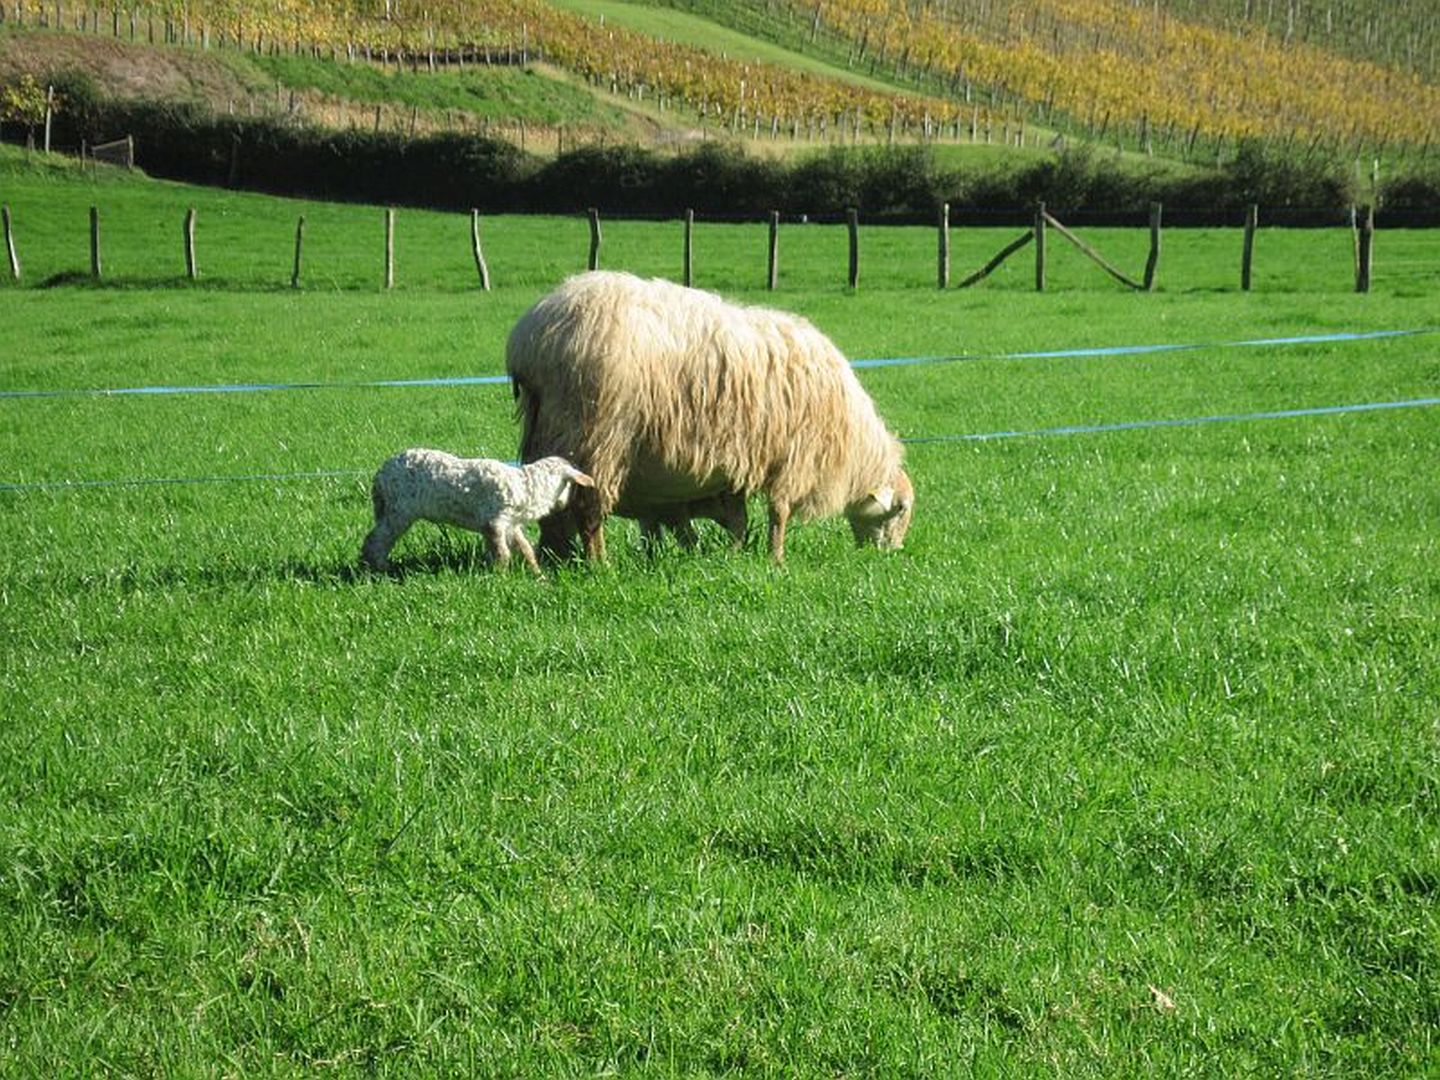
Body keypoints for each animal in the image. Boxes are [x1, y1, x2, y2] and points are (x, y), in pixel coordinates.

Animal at [360, 450, 594, 574]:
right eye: (571, 486)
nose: (563, 505)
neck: (527, 488)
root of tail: (379, 476)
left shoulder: (510, 523)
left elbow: (525, 548)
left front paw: (537, 574)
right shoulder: (494, 520)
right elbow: (502, 552)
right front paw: (501, 576)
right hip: (398, 509)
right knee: (376, 539)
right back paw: (377, 568)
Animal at [506, 271, 913, 564]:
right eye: (901, 508)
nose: (891, 555)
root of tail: (530, 337)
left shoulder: (737, 465)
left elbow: (737, 518)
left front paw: (734, 555)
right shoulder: (794, 459)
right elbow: (778, 514)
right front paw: (776, 560)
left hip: (547, 428)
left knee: (553, 506)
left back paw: (555, 559)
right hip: (595, 434)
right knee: (588, 509)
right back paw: (598, 565)